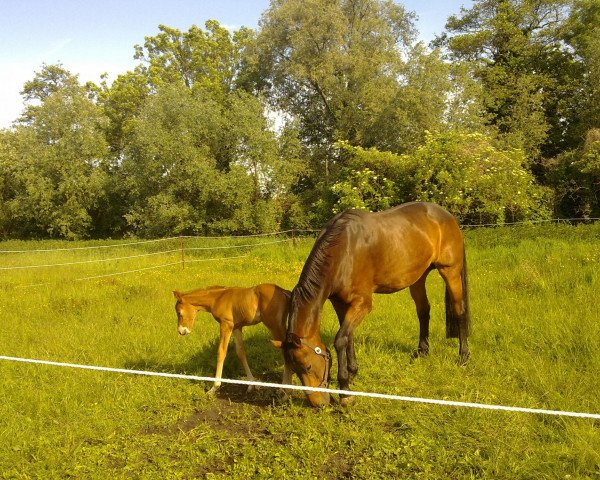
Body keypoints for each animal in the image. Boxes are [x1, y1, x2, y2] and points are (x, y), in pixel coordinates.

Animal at [274, 201, 472, 406]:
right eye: (293, 369)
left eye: (307, 366)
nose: (319, 404)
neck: (344, 251)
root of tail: (447, 216)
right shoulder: (340, 302)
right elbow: (348, 337)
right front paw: (352, 373)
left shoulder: (362, 304)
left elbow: (341, 339)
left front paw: (345, 390)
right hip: (418, 277)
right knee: (424, 311)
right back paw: (422, 352)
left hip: (450, 271)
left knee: (460, 311)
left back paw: (463, 356)